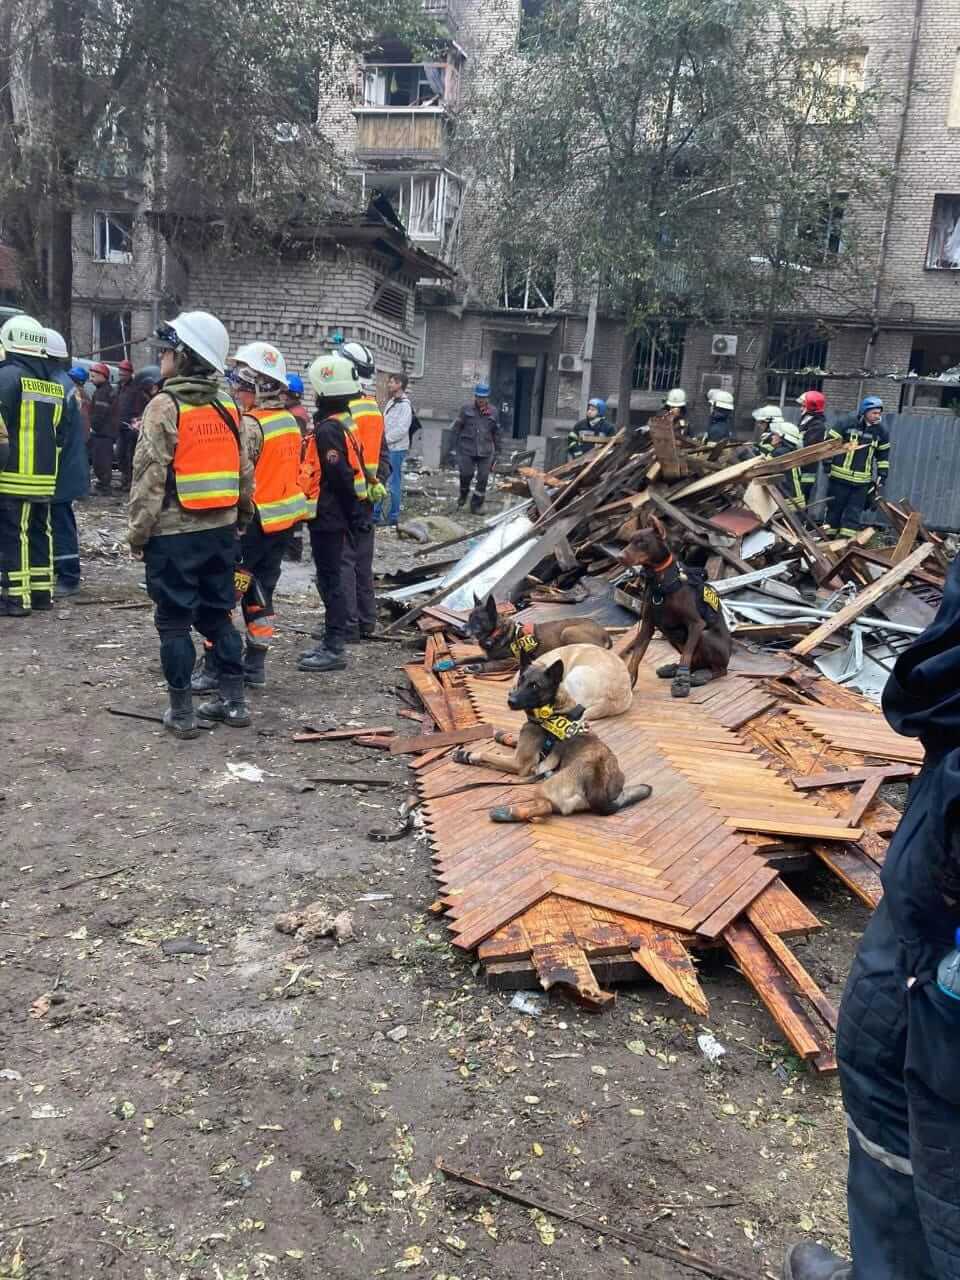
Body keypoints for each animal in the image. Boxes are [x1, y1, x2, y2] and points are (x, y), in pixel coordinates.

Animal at [455, 655, 655, 824]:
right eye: (520, 681)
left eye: (534, 686)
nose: (510, 701)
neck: (554, 708)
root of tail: (596, 780)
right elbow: (514, 740)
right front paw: (502, 735)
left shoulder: (519, 763)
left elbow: (486, 755)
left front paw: (466, 754)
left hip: (544, 788)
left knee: (545, 807)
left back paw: (507, 813)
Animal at [465, 596, 609, 680]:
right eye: (469, 618)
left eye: (478, 620)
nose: (461, 629)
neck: (496, 632)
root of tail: (604, 633)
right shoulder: (486, 656)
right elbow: (468, 658)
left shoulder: (512, 661)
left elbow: (490, 664)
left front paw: (476, 667)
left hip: (567, 632)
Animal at [619, 514, 732, 701]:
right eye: (629, 541)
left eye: (642, 542)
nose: (619, 556)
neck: (660, 582)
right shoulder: (647, 626)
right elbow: (635, 656)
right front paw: (628, 680)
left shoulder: (696, 624)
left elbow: (686, 656)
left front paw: (681, 681)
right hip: (672, 636)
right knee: (693, 660)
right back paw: (674, 668)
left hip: (706, 637)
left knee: (718, 669)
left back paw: (701, 675)